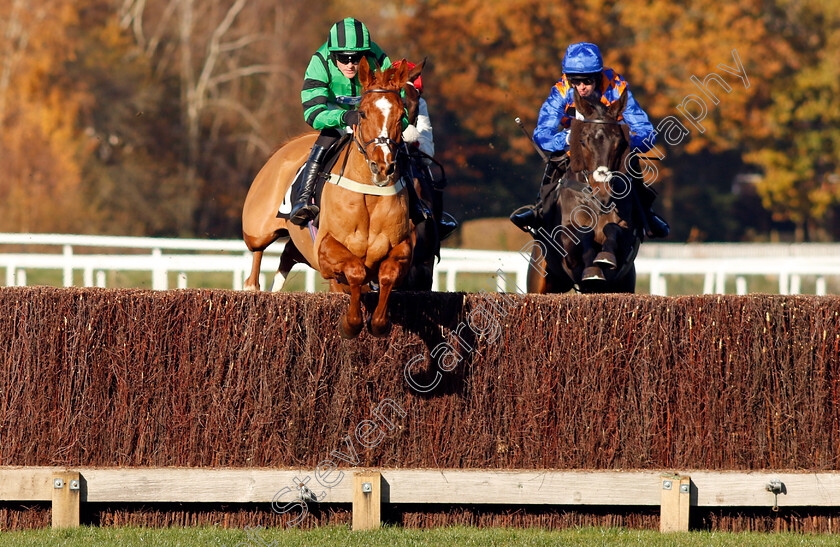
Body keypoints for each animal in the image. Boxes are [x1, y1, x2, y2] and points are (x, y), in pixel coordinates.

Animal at [241, 56, 412, 338]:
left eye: (401, 116)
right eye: (363, 113)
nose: (382, 167)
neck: (370, 194)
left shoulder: (402, 247)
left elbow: (386, 275)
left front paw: (379, 322)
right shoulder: (325, 248)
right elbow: (355, 271)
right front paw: (350, 324)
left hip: (300, 247)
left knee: (287, 255)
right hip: (257, 229)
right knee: (256, 254)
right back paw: (253, 288)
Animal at [528, 89, 640, 296]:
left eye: (619, 142)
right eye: (582, 140)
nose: (602, 190)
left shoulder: (627, 241)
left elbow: (614, 229)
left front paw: (604, 256)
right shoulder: (566, 241)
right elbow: (582, 237)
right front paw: (592, 269)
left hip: (627, 284)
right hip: (539, 277)